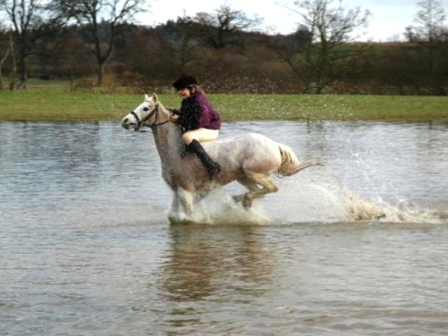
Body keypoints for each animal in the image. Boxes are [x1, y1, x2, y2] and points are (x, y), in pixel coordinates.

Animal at [121, 93, 320, 223]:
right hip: (244, 177)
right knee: (258, 192)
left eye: (146, 108)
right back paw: (238, 202)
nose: (125, 121)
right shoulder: (178, 191)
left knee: (271, 189)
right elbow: (173, 216)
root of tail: (275, 145)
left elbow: (189, 218)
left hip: (253, 173)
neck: (175, 151)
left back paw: (241, 201)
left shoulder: (185, 191)